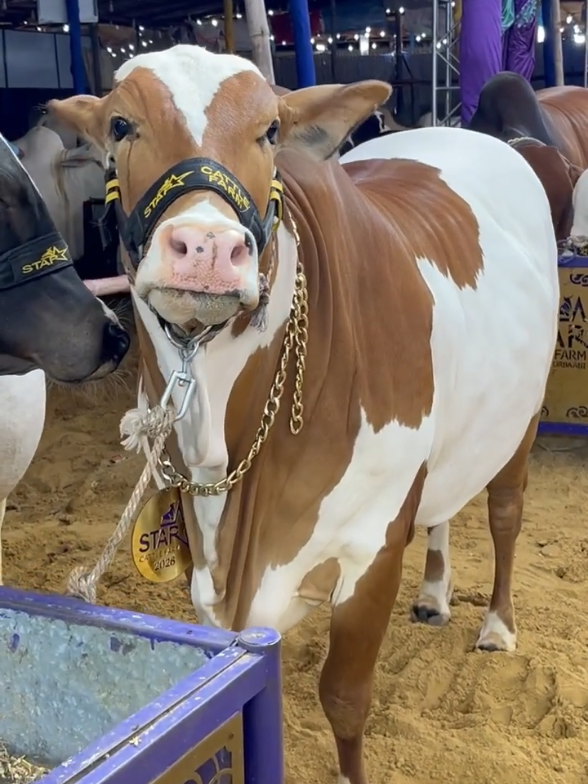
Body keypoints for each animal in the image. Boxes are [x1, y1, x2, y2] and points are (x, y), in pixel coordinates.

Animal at [48, 45, 559, 784]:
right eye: (120, 124)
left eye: (269, 130)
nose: (207, 247)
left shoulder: (373, 545)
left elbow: (344, 700)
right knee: (443, 508)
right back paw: (435, 594)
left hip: (523, 415)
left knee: (505, 512)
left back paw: (496, 624)